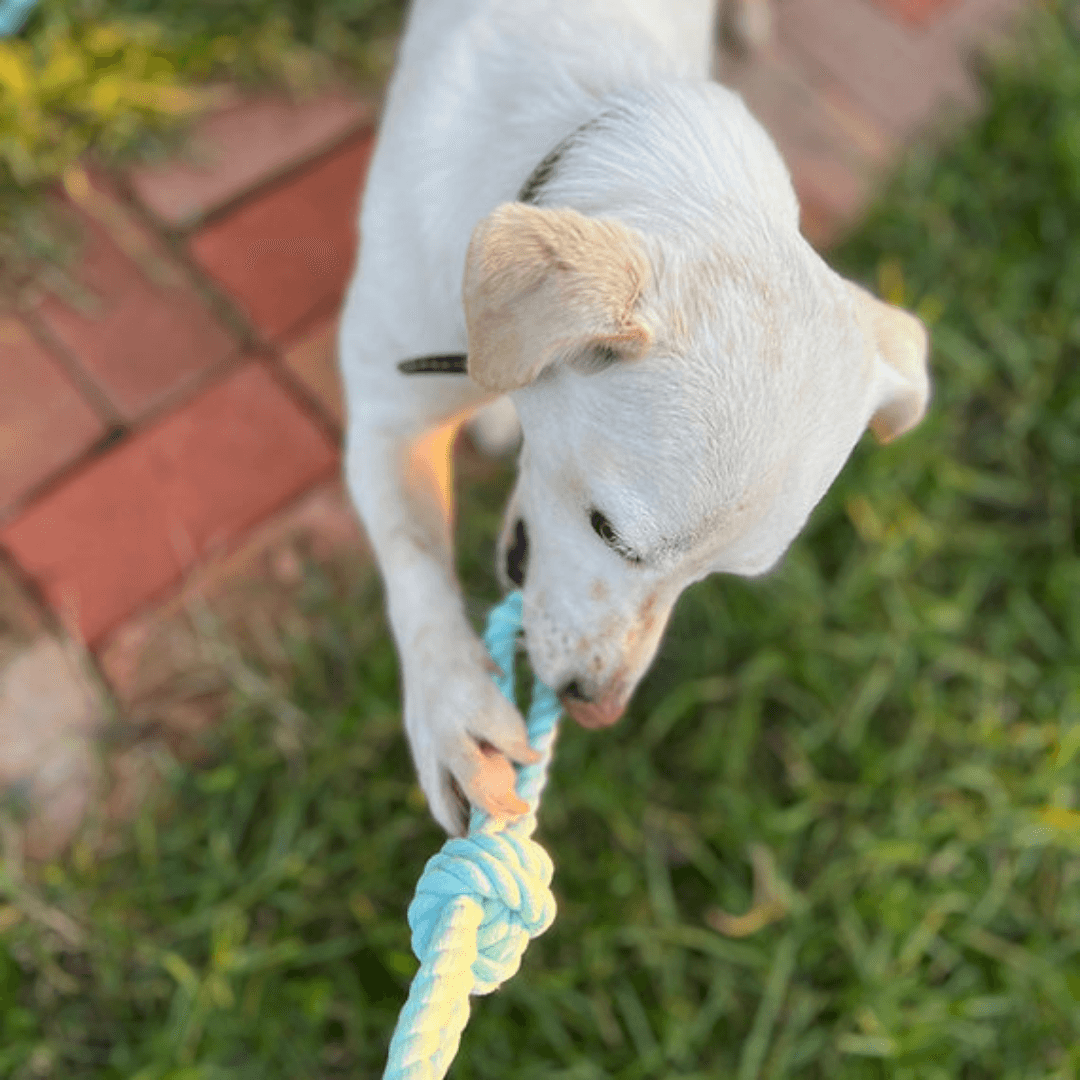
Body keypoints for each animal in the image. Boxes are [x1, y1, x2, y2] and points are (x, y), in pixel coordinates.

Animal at [339, 0, 928, 833]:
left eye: (720, 576)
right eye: (610, 533)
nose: (595, 708)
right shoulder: (387, 412)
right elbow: (416, 565)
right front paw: (456, 714)